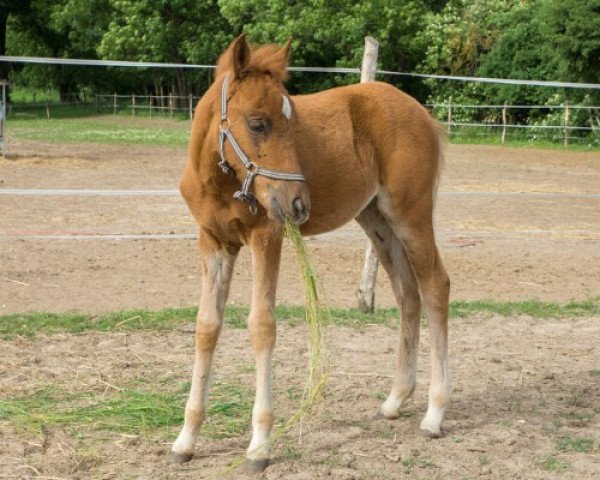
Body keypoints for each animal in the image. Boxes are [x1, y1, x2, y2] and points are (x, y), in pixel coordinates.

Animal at [170, 34, 450, 472]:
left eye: (293, 120)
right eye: (258, 123)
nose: (298, 203)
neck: (222, 181)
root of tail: (423, 114)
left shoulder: (268, 235)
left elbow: (262, 326)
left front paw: (260, 445)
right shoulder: (213, 241)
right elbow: (206, 327)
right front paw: (186, 439)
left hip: (411, 214)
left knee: (436, 286)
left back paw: (434, 415)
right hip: (376, 219)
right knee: (408, 293)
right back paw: (395, 400)